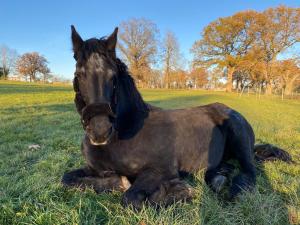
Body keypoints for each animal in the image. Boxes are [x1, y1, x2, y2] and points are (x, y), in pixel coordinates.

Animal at [62, 25, 292, 209]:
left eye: (112, 77)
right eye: (78, 75)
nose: (99, 131)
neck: (126, 133)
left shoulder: (160, 170)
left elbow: (131, 198)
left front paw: (179, 191)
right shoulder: (92, 169)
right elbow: (66, 178)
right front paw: (117, 181)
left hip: (239, 137)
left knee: (249, 171)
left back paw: (232, 189)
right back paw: (218, 177)